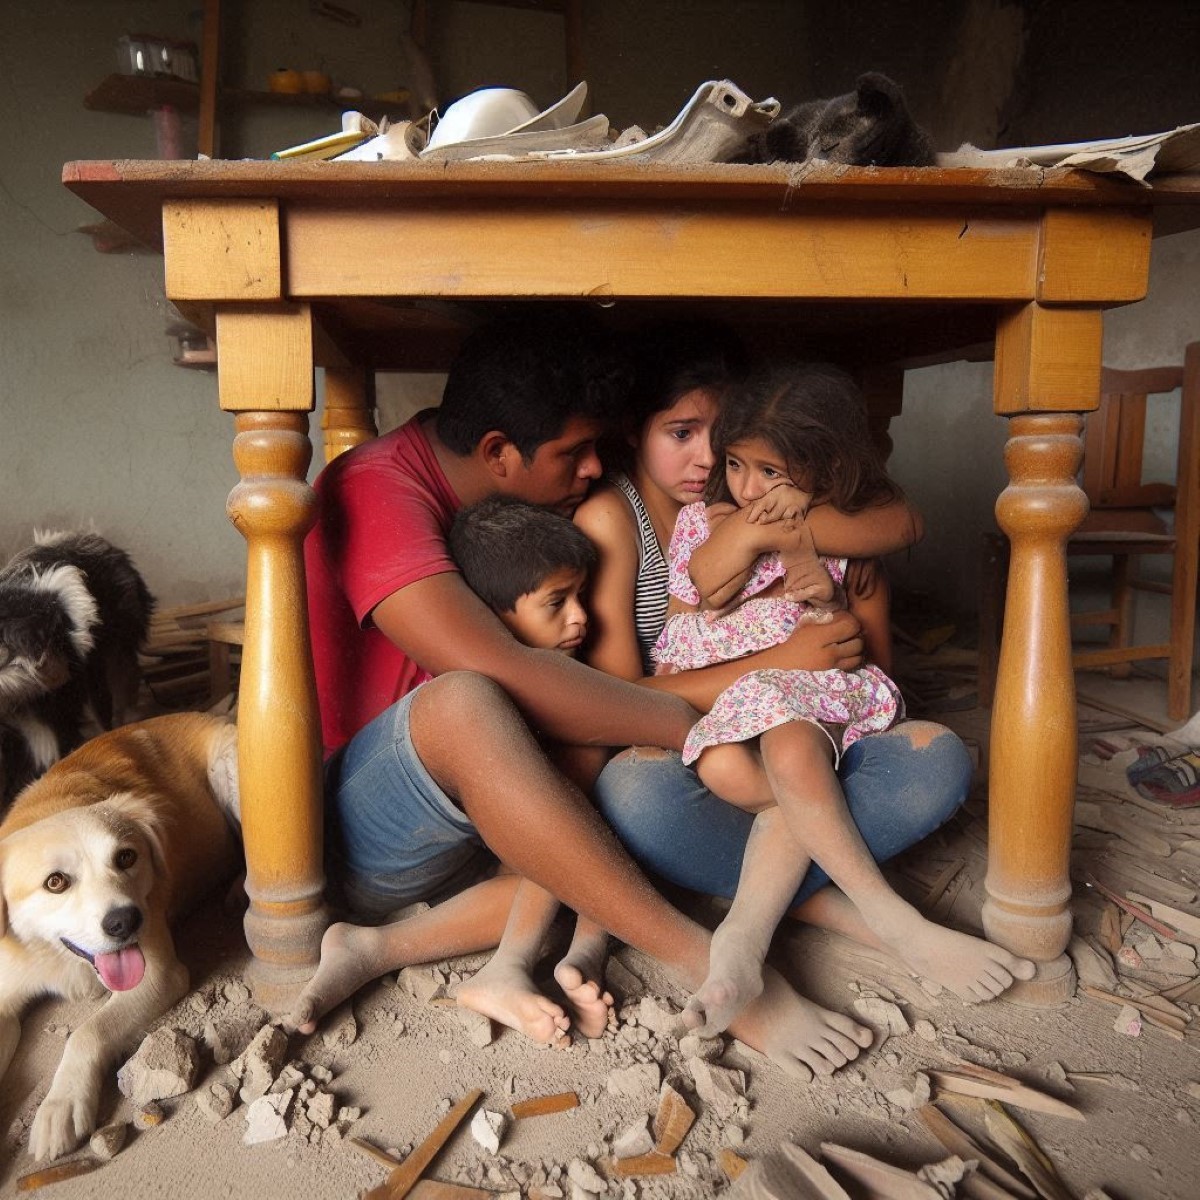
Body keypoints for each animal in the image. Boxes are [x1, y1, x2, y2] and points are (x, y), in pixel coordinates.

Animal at [0, 710, 241, 1161]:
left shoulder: (158, 974)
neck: (55, 956)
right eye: (55, 882)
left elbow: (86, 1032)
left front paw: (61, 1102)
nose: (126, 922)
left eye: (126, 857)